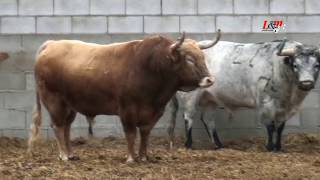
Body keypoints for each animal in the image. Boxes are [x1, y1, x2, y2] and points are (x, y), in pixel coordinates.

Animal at [28, 31, 221, 162]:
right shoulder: (127, 109)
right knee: (58, 126)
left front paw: (143, 157)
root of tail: (52, 43)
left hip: (70, 105)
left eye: (202, 56)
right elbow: (131, 134)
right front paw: (131, 158)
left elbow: (145, 134)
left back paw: (71, 154)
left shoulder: (153, 112)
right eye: (189, 59)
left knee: (66, 127)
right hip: (54, 101)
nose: (209, 80)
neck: (151, 67)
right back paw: (63, 155)